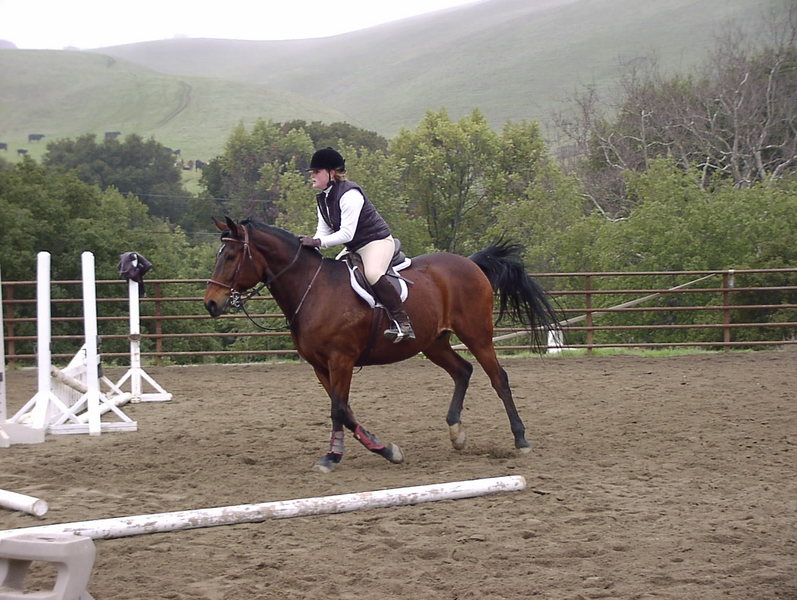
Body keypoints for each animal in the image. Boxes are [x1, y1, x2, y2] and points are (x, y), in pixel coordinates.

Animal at [204, 216, 559, 472]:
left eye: (232, 255)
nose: (211, 304)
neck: (312, 289)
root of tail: (470, 263)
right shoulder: (320, 366)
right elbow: (345, 410)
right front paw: (385, 449)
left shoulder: (341, 360)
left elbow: (338, 408)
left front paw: (334, 457)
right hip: (433, 343)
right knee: (463, 371)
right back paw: (456, 432)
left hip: (477, 334)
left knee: (498, 378)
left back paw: (521, 438)